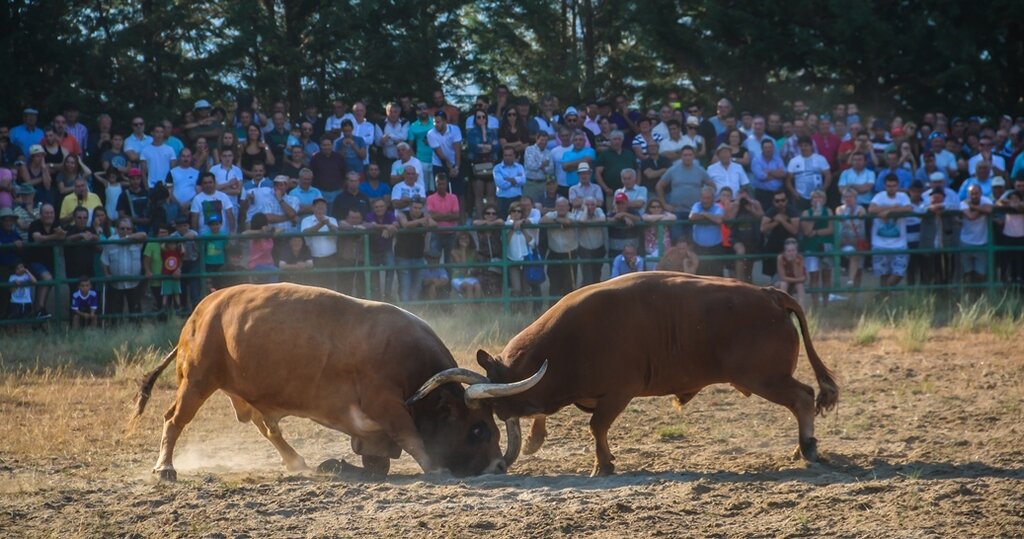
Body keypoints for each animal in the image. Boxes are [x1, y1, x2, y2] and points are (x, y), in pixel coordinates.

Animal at [133, 284, 548, 483]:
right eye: (478, 429)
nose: (498, 466)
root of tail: (202, 310)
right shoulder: (386, 404)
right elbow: (411, 437)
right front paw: (435, 467)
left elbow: (379, 459)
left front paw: (338, 465)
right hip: (197, 380)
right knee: (174, 419)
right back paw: (164, 468)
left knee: (268, 428)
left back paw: (297, 462)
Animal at [411, 274, 835, 477]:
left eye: (493, 415)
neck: (572, 340)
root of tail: (770, 294)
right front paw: (535, 440)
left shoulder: (618, 393)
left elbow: (597, 427)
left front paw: (602, 465)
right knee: (801, 401)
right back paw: (799, 448)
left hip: (765, 378)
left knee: (802, 398)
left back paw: (808, 448)